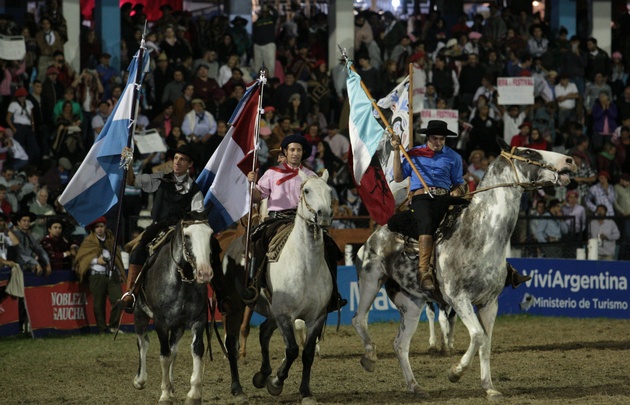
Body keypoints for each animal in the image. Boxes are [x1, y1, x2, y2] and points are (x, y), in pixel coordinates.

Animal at [131, 213, 220, 402]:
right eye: (187, 236)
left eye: (210, 234)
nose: (205, 273)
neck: (180, 280)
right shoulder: (161, 323)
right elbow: (164, 356)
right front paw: (164, 394)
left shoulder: (198, 320)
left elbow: (196, 349)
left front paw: (193, 394)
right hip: (139, 314)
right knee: (143, 341)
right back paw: (140, 380)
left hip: (178, 326)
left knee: (173, 350)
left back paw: (171, 387)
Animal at [226, 169, 336, 402]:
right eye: (306, 190)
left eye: (329, 191)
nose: (323, 216)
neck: (306, 266)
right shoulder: (285, 314)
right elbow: (292, 349)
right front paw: (276, 382)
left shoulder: (317, 316)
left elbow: (307, 353)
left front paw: (305, 392)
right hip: (234, 307)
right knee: (231, 342)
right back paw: (238, 389)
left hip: (271, 311)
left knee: (264, 331)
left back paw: (261, 375)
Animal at [356, 140, 576, 400]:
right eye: (528, 152)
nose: (569, 161)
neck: (480, 235)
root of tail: (377, 233)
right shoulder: (459, 299)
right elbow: (477, 336)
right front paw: (455, 372)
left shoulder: (489, 303)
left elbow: (486, 343)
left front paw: (489, 387)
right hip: (371, 279)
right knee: (359, 319)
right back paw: (370, 358)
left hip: (411, 303)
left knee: (400, 344)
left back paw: (415, 386)